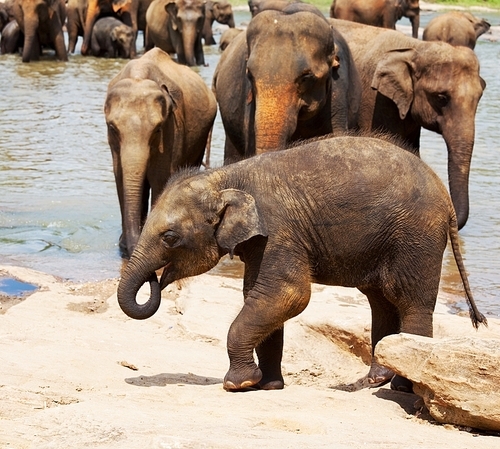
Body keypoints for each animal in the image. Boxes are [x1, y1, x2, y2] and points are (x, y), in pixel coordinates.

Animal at [104, 47, 216, 258]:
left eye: (157, 129)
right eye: (112, 128)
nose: (128, 248)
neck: (138, 76)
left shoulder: (171, 129)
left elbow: (160, 177)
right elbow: (120, 176)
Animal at [116, 134, 484, 392]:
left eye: (170, 237)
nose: (156, 280)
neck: (226, 176)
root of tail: (445, 198)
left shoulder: (279, 230)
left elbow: (286, 294)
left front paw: (238, 384)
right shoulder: (263, 241)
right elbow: (259, 296)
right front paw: (267, 386)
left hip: (416, 236)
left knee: (409, 301)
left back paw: (402, 388)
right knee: (381, 301)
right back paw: (375, 381)